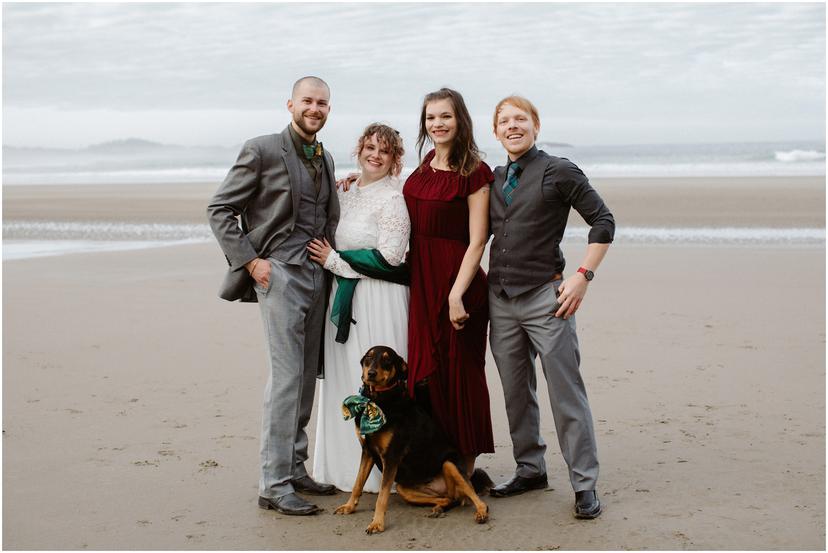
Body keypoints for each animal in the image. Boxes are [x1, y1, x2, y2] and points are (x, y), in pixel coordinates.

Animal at [334, 344, 488, 532]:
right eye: (368, 357)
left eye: (387, 359)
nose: (371, 373)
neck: (379, 400)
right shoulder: (368, 452)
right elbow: (357, 484)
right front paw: (349, 507)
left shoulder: (391, 457)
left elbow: (382, 496)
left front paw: (377, 523)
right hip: (404, 489)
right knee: (449, 499)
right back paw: (438, 509)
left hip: (450, 464)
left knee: (476, 499)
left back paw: (481, 513)